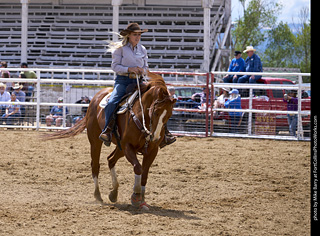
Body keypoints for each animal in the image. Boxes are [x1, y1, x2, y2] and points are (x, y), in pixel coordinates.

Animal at [44, 72, 175, 210]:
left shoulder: (152, 150)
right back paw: (98, 195)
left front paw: (142, 200)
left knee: (110, 159)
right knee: (95, 165)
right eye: (155, 112)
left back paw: (114, 193)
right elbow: (138, 168)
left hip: (120, 148)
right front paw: (136, 197)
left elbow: (144, 174)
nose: (155, 137)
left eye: (169, 115)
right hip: (96, 141)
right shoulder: (127, 146)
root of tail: (96, 97)